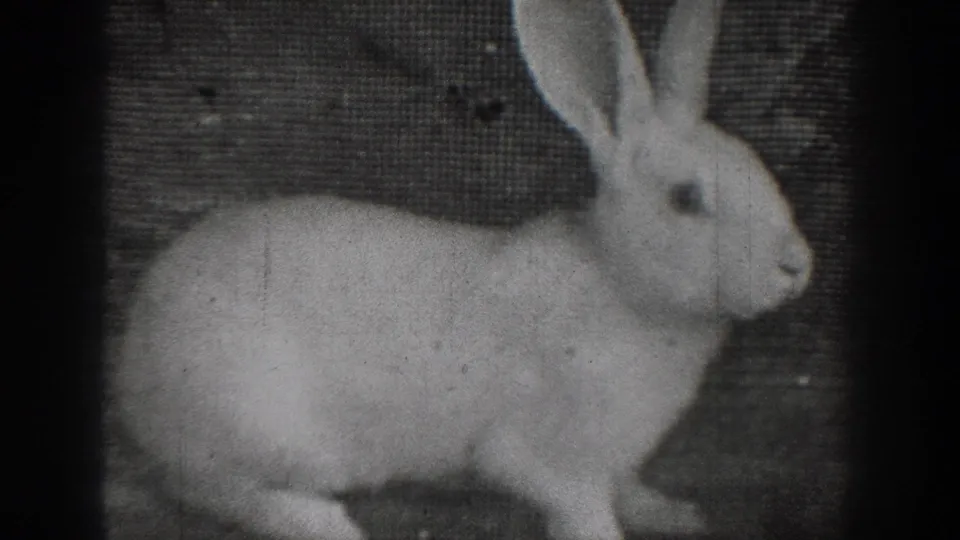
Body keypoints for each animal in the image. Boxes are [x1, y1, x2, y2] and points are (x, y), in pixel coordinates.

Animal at [112, 0, 814, 539]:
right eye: (687, 199)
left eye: (755, 164)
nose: (796, 265)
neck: (623, 283)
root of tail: (136, 364)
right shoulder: (542, 455)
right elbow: (577, 507)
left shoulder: (616, 458)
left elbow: (628, 489)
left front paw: (675, 515)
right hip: (263, 428)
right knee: (215, 490)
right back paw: (324, 523)